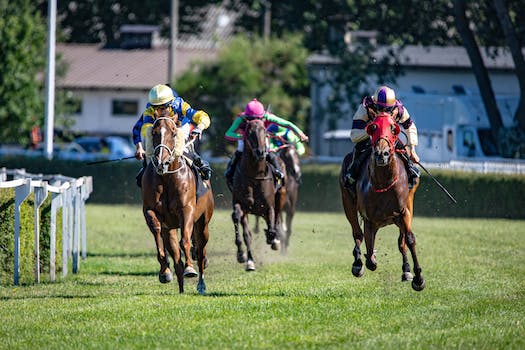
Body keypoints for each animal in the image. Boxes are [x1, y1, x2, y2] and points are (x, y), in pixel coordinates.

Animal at [141, 116, 213, 294]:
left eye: (174, 133)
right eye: (154, 132)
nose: (161, 162)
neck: (167, 178)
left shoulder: (186, 210)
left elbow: (185, 241)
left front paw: (190, 268)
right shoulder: (150, 211)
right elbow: (157, 232)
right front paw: (164, 271)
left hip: (203, 223)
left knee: (201, 252)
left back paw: (201, 283)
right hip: (171, 229)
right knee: (176, 257)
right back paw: (180, 288)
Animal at [230, 117, 284, 270]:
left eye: (264, 131)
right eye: (249, 132)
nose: (261, 152)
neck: (255, 175)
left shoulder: (269, 206)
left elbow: (272, 227)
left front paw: (273, 239)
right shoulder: (241, 205)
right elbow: (241, 227)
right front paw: (244, 257)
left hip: (280, 196)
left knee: (276, 219)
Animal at [338, 112, 424, 290]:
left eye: (393, 128)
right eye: (373, 127)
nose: (381, 154)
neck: (383, 183)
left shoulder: (404, 212)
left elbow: (409, 240)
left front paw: (418, 278)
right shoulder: (369, 219)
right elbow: (369, 254)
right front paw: (368, 259)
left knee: (401, 242)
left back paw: (406, 270)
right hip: (347, 201)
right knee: (357, 234)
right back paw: (358, 263)